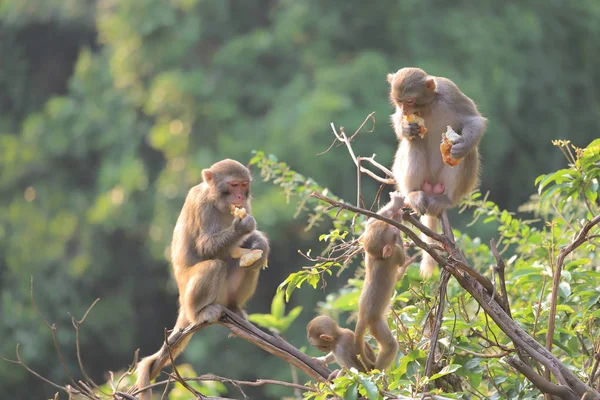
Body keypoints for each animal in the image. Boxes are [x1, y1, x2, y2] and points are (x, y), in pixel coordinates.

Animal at [136, 159, 270, 400]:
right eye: (233, 184)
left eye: (244, 185)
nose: (240, 197)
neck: (217, 202)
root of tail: (182, 300)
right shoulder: (202, 206)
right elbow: (205, 247)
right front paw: (241, 226)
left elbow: (249, 247)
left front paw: (260, 243)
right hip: (190, 290)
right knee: (213, 265)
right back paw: (199, 314)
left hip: (226, 294)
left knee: (249, 265)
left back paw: (235, 307)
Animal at [354, 191, 406, 372]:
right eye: (393, 234)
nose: (395, 226)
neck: (378, 258)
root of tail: (362, 315)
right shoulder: (395, 253)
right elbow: (401, 260)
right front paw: (397, 214)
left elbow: (370, 223)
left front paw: (394, 208)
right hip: (375, 323)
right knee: (390, 345)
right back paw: (378, 371)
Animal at [390, 66, 488, 278]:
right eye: (399, 102)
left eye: (410, 101)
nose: (405, 110)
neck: (428, 106)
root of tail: (431, 189)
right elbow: (399, 123)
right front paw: (405, 126)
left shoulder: (451, 93)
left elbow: (474, 121)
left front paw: (461, 146)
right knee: (413, 142)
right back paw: (413, 193)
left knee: (465, 155)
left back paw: (446, 198)